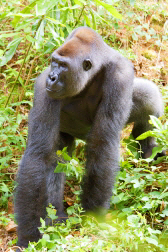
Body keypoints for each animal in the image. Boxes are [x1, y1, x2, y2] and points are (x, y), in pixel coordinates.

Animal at [15, 26, 163, 248]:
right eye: (54, 62)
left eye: (63, 66)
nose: (52, 77)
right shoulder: (43, 86)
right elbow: (39, 155)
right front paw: (29, 236)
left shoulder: (120, 77)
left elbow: (102, 144)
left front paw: (91, 219)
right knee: (55, 159)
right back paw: (55, 217)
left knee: (148, 96)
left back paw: (148, 151)